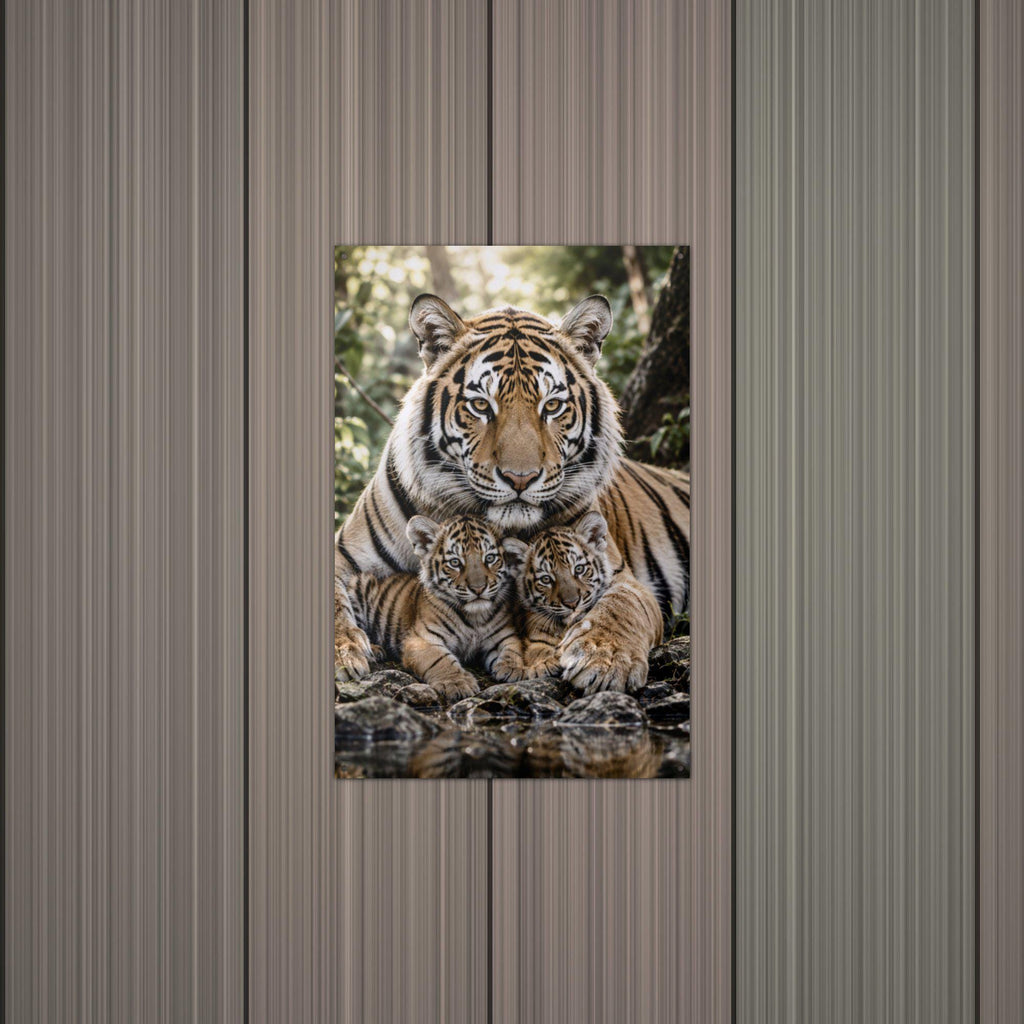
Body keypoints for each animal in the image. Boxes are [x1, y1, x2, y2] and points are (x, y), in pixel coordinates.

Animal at [346, 514, 530, 700]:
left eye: (490, 558)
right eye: (455, 562)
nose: (478, 588)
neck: (474, 617)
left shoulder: (503, 635)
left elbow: (512, 649)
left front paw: (513, 669)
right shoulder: (422, 640)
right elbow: (440, 659)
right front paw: (457, 683)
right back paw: (373, 650)